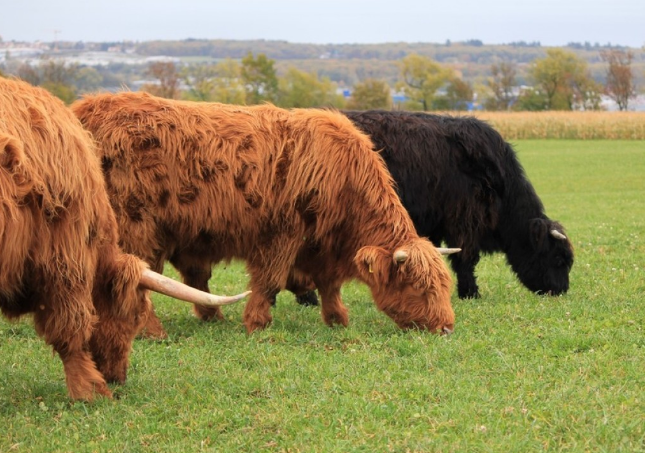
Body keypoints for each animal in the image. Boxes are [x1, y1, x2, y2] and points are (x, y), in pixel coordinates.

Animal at [70, 91, 456, 336]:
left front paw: (337, 320)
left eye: (443, 286)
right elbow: (269, 282)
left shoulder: (320, 246)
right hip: (135, 226)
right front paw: (256, 324)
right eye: (418, 287)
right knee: (140, 279)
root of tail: (87, 109)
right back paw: (154, 331)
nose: (447, 327)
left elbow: (328, 286)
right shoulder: (280, 235)